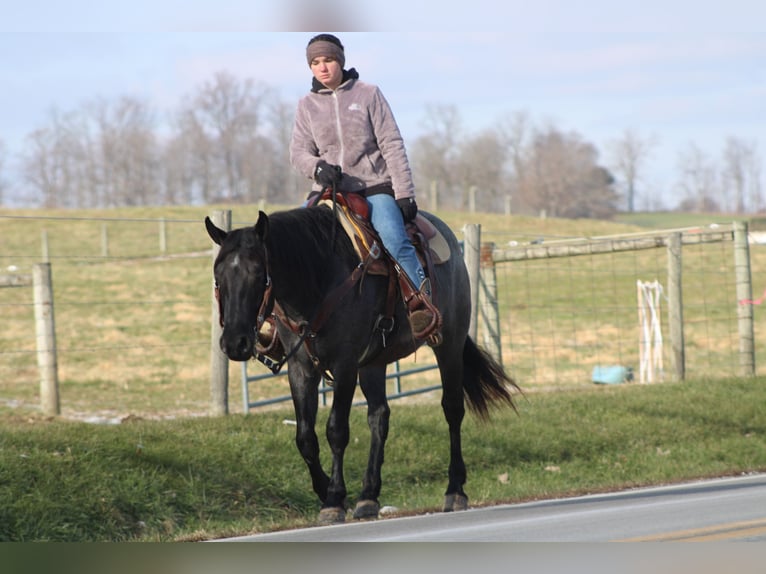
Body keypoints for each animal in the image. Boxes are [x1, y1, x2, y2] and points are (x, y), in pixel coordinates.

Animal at [205, 204, 519, 523]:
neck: (319, 279)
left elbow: (336, 430)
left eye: (259, 274)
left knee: (452, 409)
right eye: (218, 276)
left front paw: (334, 498)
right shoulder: (302, 370)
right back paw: (368, 496)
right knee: (379, 416)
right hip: (373, 363)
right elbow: (305, 437)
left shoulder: (345, 366)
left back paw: (455, 490)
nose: (234, 342)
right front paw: (325, 491)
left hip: (449, 345)